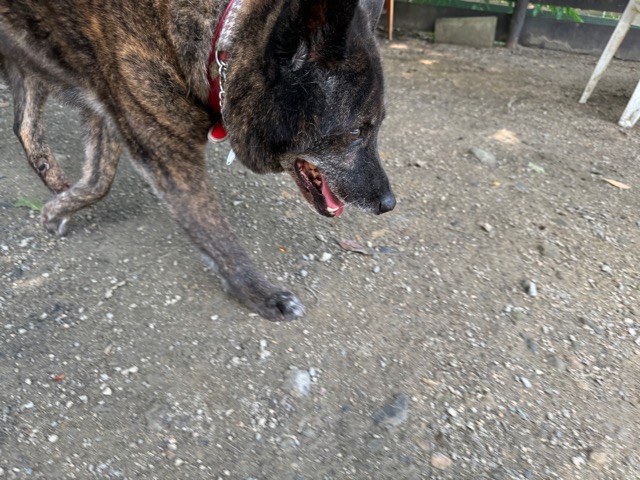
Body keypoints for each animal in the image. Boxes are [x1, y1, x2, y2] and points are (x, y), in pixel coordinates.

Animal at [0, 0, 396, 321]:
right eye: (356, 132)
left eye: (378, 126)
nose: (389, 203)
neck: (220, 40)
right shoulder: (168, 154)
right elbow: (219, 237)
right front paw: (260, 293)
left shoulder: (111, 111)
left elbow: (99, 180)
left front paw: (57, 208)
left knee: (24, 124)